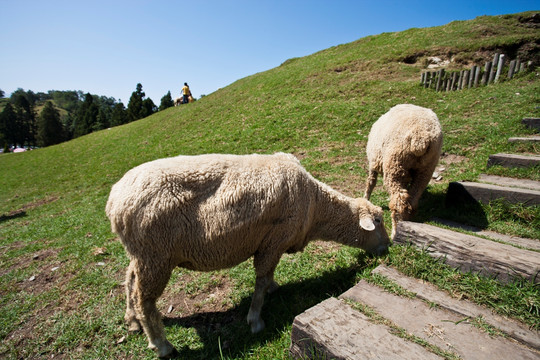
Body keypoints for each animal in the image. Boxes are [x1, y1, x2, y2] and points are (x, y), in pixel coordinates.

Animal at [105, 152, 390, 358]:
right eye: (378, 221)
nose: (388, 249)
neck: (316, 208)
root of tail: (113, 201)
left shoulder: (273, 244)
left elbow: (268, 276)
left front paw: (273, 288)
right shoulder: (273, 241)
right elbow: (261, 279)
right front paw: (255, 320)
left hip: (142, 254)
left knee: (130, 280)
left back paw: (132, 320)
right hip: (156, 256)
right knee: (144, 299)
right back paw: (161, 344)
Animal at [362, 104, 442, 238]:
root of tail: (420, 139)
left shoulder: (373, 163)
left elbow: (371, 182)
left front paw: (365, 198)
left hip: (394, 166)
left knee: (399, 203)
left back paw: (395, 233)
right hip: (426, 169)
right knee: (412, 201)